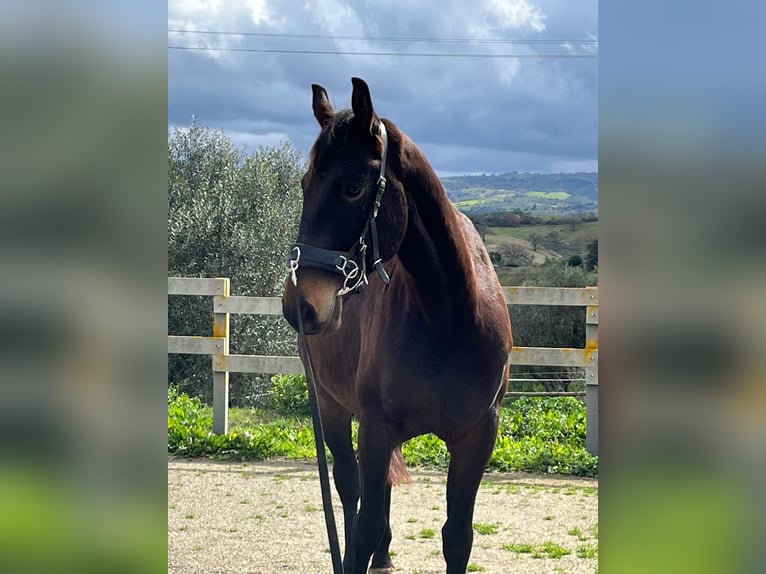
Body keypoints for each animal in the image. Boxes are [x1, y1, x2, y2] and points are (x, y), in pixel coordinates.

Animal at [282, 77, 513, 574]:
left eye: (352, 187)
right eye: (305, 184)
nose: (299, 306)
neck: (448, 316)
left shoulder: (477, 437)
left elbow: (458, 537)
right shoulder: (374, 428)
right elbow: (363, 525)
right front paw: (359, 551)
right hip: (331, 408)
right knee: (349, 488)